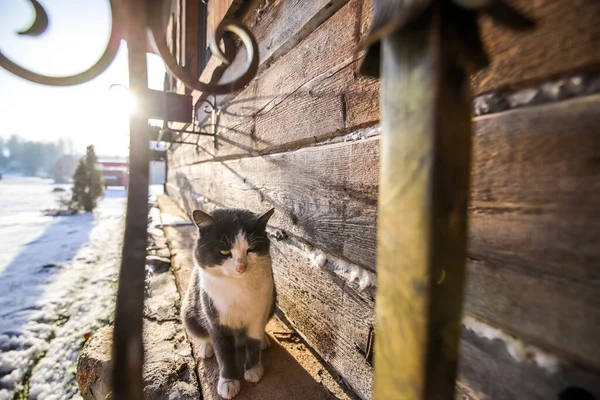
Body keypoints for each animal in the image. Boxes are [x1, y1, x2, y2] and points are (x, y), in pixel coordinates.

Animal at [180, 208, 276, 398]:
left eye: (251, 249)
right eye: (224, 252)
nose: (241, 267)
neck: (238, 286)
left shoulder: (259, 312)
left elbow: (253, 341)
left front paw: (253, 368)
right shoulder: (215, 318)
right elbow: (224, 353)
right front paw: (228, 382)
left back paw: (264, 340)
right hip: (189, 311)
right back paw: (206, 347)